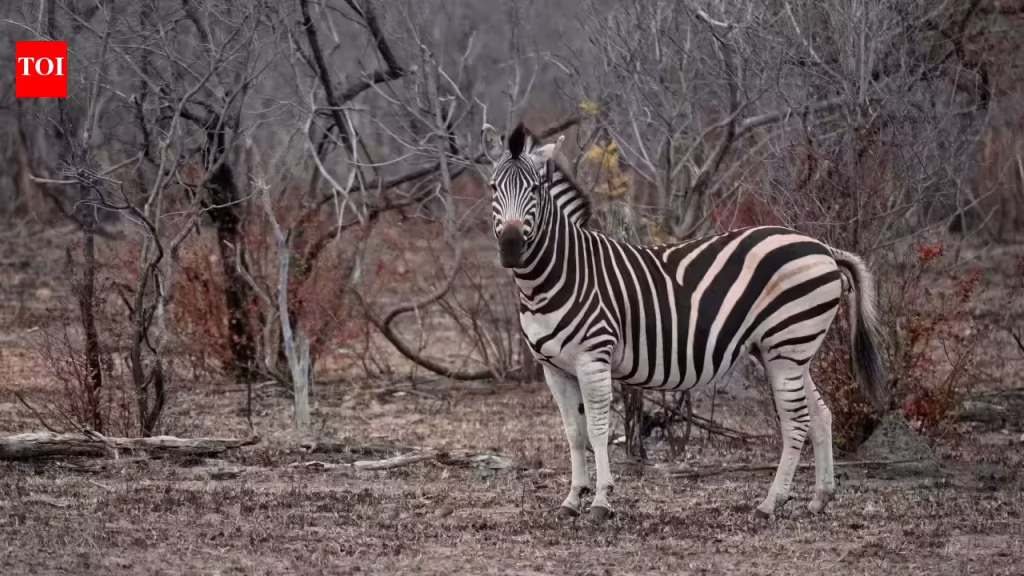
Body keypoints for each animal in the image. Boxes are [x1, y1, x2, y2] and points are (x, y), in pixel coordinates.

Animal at [480, 121, 889, 522]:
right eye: (493, 187)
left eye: (535, 189)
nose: (511, 247)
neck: (559, 274)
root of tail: (823, 248)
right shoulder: (554, 368)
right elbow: (574, 434)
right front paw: (571, 500)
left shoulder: (592, 358)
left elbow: (596, 431)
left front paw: (600, 501)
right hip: (784, 349)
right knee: (820, 414)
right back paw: (820, 498)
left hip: (788, 343)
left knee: (797, 421)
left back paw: (771, 503)